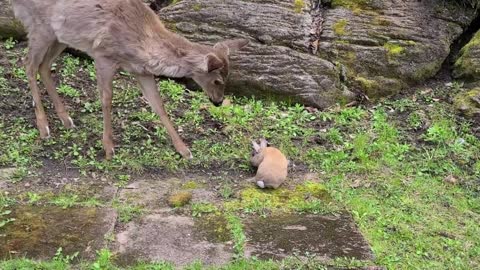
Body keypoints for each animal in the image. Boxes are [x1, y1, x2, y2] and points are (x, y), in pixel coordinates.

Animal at [13, 0, 249, 159]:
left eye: (227, 76)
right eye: (217, 80)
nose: (218, 101)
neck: (143, 41)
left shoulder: (141, 71)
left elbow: (158, 105)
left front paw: (184, 150)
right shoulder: (103, 56)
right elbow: (107, 100)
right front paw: (108, 148)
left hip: (60, 36)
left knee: (43, 66)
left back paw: (66, 120)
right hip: (40, 26)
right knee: (28, 64)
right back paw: (44, 127)